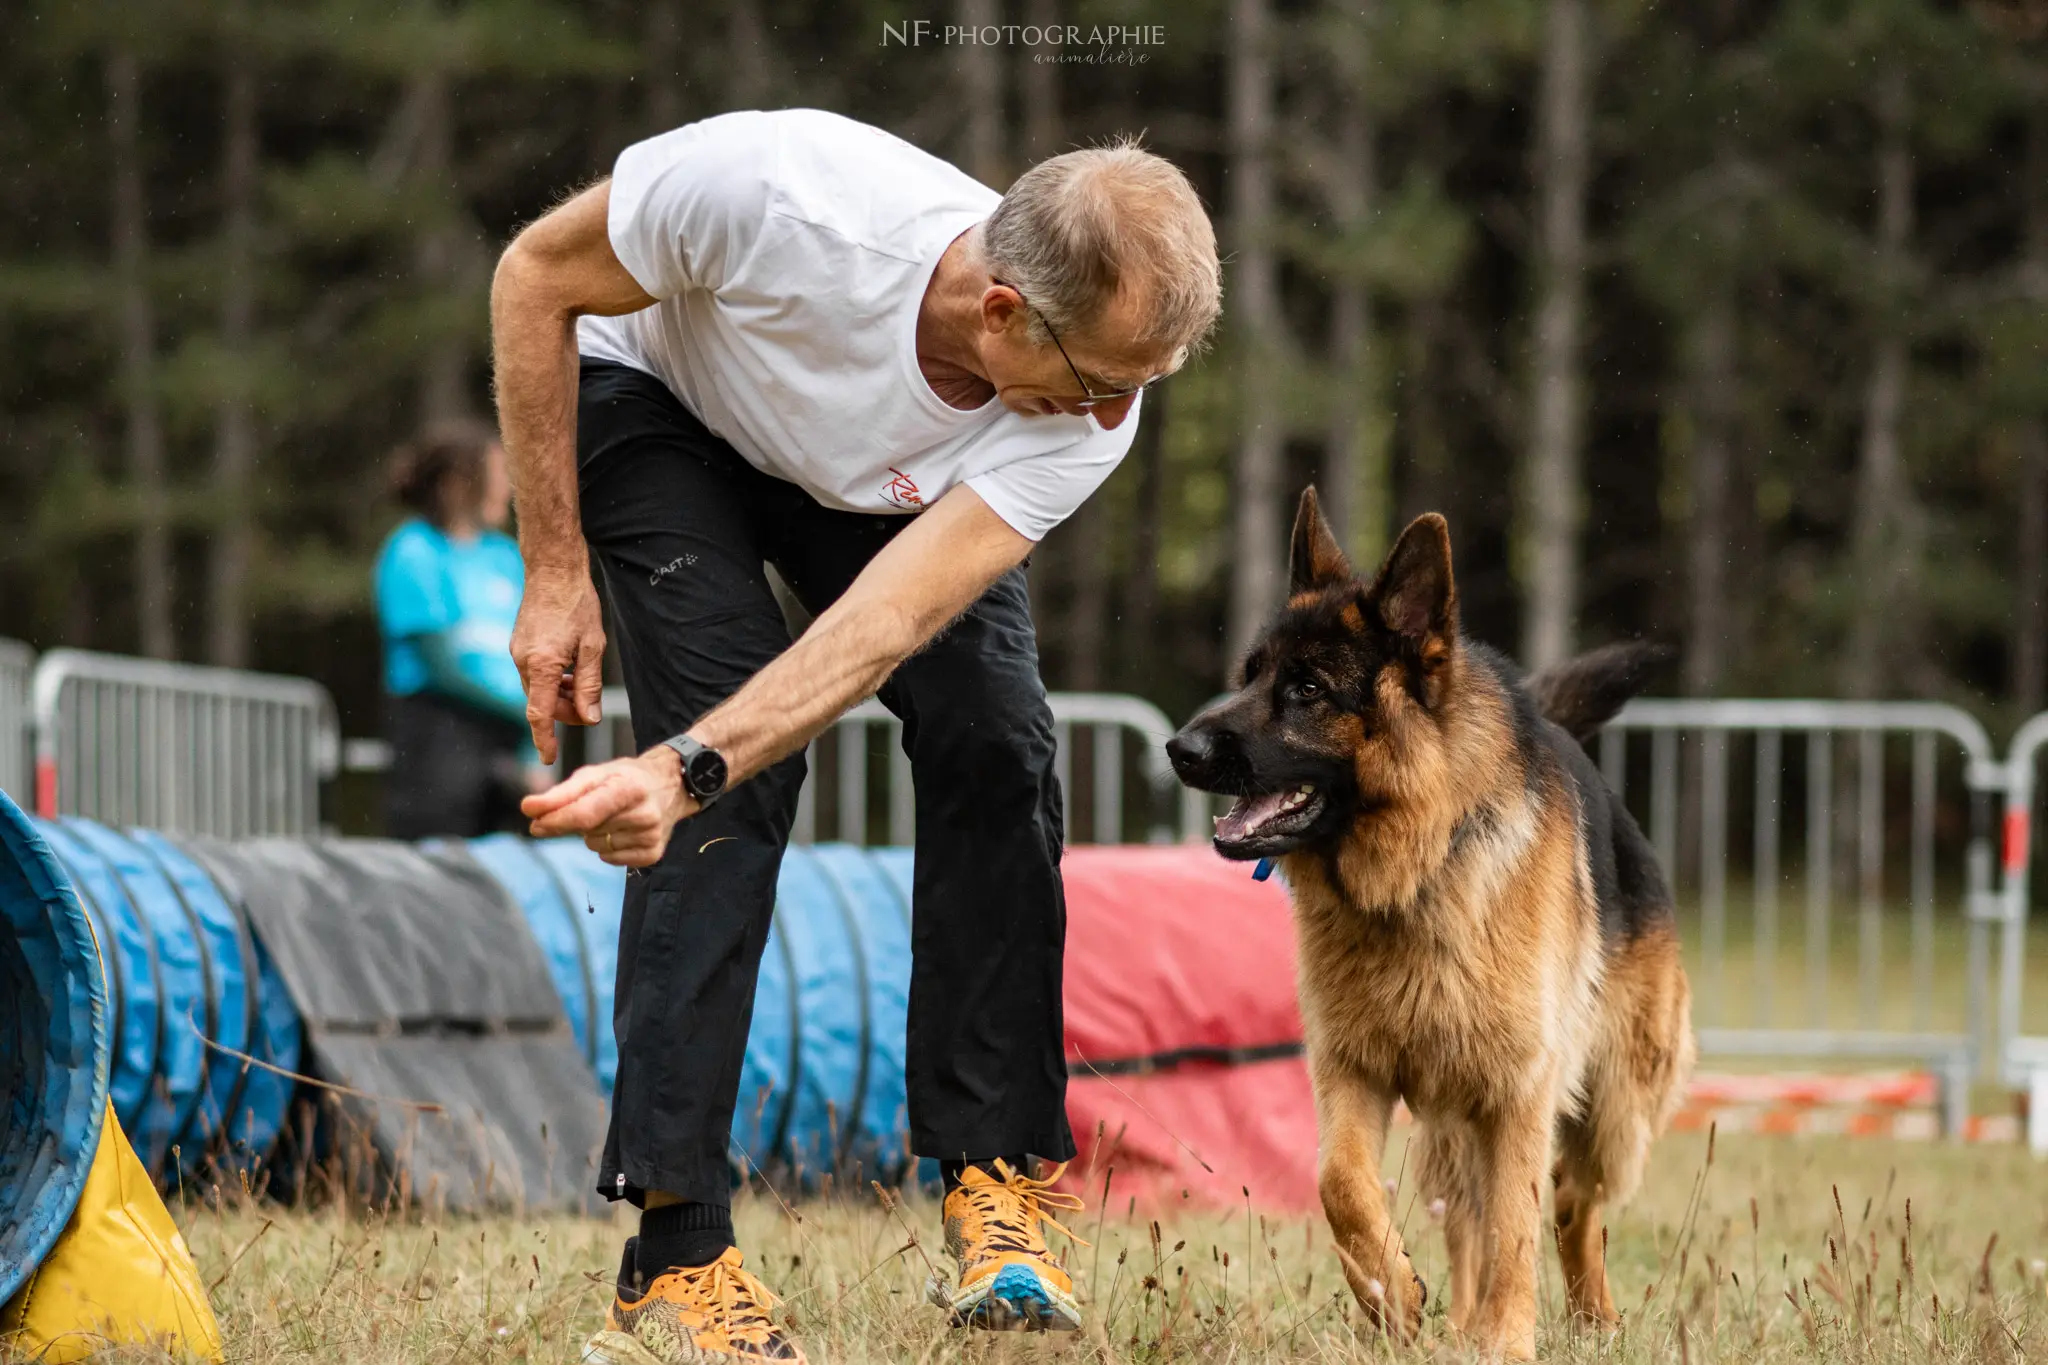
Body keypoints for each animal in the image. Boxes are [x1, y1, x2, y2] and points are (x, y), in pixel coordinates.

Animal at [1171, 489, 1695, 1358]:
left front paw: (1508, 1341)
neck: (1413, 874)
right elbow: (1340, 1184)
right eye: (1250, 676)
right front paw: (1391, 1296)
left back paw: (1589, 1318)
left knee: (1571, 1202)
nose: (1178, 747)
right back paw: (1458, 1319)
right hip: (1453, 1125)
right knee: (1469, 1216)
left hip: (1615, 1106)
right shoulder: (1353, 1071)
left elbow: (1518, 1222)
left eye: (1307, 690)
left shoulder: (1519, 1093)